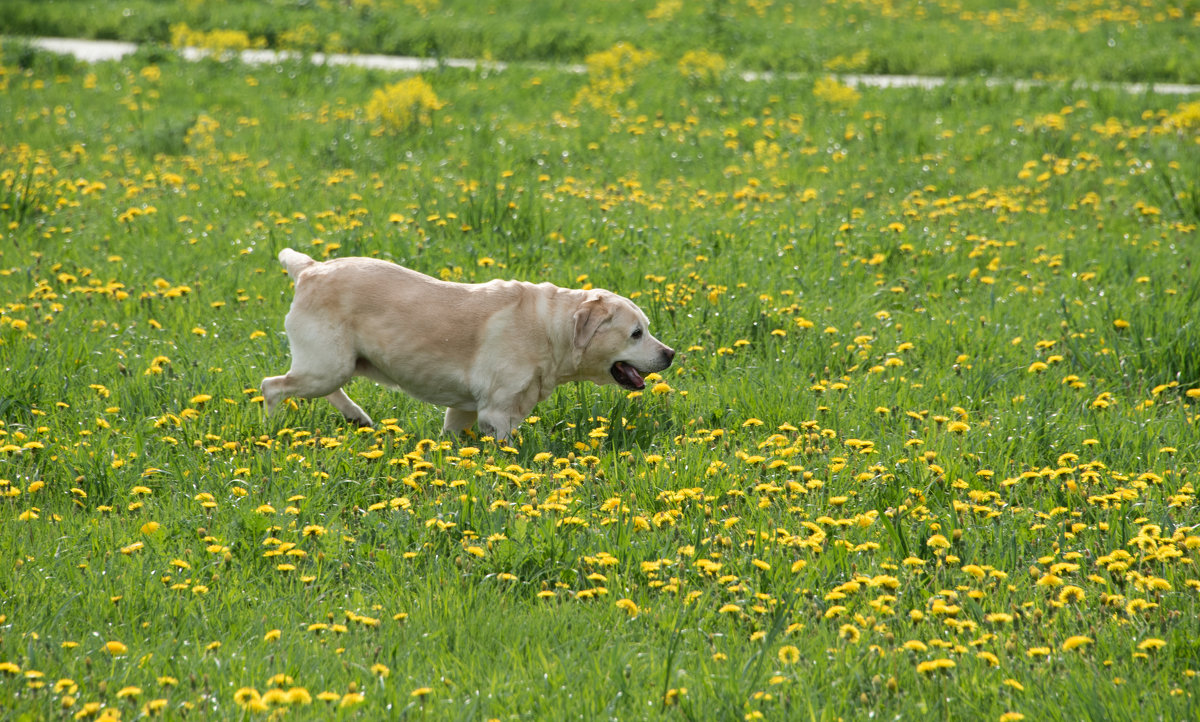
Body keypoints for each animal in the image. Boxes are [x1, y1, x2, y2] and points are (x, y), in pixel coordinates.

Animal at [260, 247, 676, 438]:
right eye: (636, 333)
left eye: (647, 328)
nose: (671, 354)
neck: (550, 329)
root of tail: (310, 268)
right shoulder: (497, 412)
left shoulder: (464, 411)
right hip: (326, 367)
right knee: (271, 386)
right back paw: (272, 429)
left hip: (335, 366)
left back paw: (356, 417)